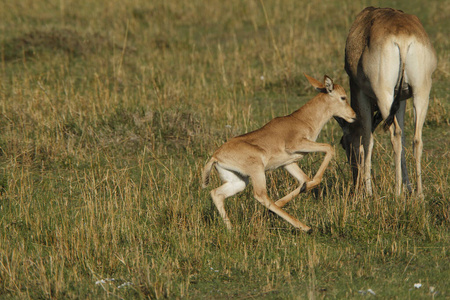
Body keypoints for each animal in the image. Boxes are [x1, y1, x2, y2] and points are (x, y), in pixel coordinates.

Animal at [203, 74, 356, 232]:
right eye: (343, 97)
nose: (354, 116)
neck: (301, 119)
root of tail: (215, 156)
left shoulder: (288, 163)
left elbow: (304, 180)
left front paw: (296, 193)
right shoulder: (296, 145)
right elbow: (329, 148)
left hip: (239, 181)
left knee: (216, 194)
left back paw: (232, 229)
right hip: (257, 171)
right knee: (261, 196)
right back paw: (305, 227)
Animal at [338, 6, 436, 197]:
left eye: (345, 144)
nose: (355, 183)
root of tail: (403, 38)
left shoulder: (360, 92)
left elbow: (367, 138)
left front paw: (368, 191)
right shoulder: (402, 99)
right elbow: (405, 137)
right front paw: (408, 187)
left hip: (384, 94)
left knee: (395, 135)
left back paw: (397, 193)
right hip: (421, 92)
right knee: (416, 139)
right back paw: (419, 193)